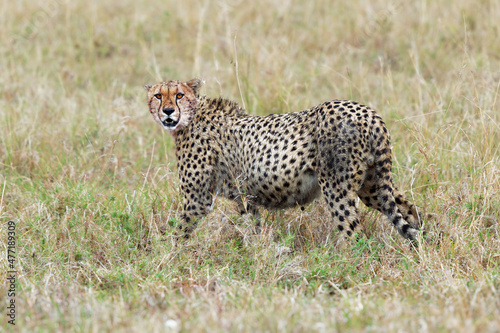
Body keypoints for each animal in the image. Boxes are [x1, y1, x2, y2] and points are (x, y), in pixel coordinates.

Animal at [145, 79, 422, 243]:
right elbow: (253, 229)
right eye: (158, 96)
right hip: (373, 186)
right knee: (410, 212)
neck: (191, 116)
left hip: (338, 189)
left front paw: (164, 255)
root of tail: (366, 111)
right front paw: (257, 254)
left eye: (179, 95)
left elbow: (178, 231)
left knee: (355, 234)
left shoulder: (198, 199)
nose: (167, 111)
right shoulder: (246, 198)